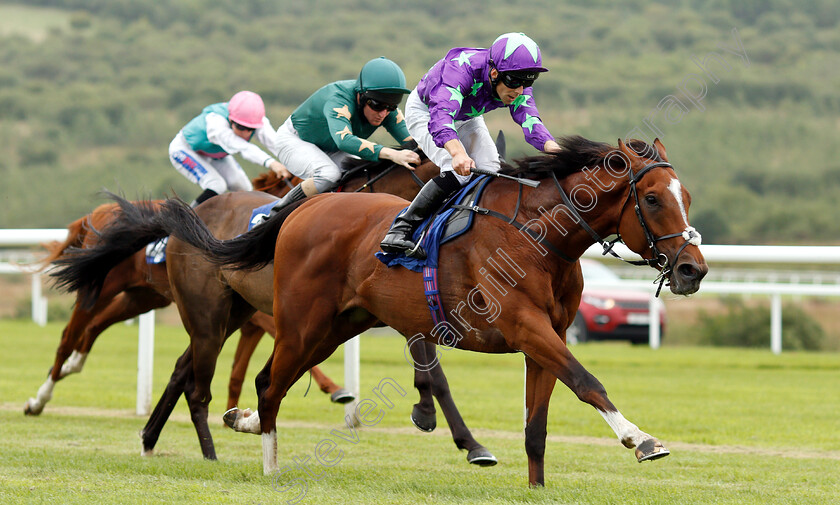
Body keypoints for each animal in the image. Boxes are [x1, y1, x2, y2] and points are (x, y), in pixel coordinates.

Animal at [49, 155, 496, 464]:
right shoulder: (292, 311)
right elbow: (434, 373)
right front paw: (464, 439)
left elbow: (430, 367)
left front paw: (449, 428)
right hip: (137, 293)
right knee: (79, 329)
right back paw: (50, 390)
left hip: (174, 301)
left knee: (173, 363)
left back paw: (148, 437)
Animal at [146, 135, 708, 484]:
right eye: (653, 199)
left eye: (686, 195)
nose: (693, 270)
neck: (539, 237)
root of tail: (306, 207)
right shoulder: (525, 328)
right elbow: (588, 382)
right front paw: (641, 439)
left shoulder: (546, 337)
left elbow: (536, 426)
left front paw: (534, 485)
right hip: (293, 323)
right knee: (265, 384)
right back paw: (267, 465)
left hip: (334, 327)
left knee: (260, 380)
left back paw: (230, 423)